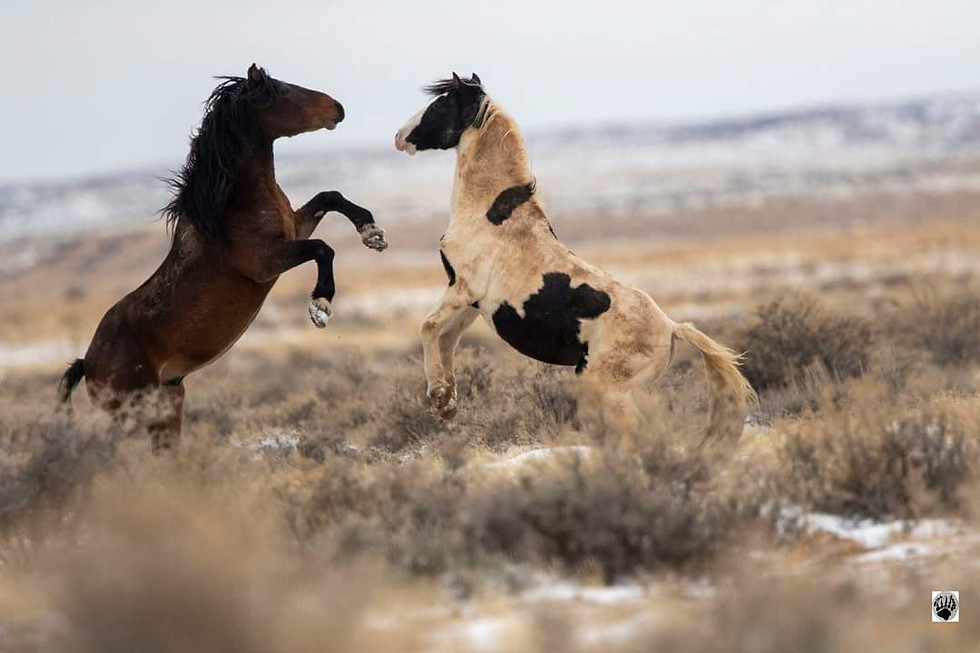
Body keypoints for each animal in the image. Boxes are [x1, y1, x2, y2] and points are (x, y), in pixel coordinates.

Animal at [58, 64, 388, 450]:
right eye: (283, 92)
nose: (337, 107)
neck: (230, 206)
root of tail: (88, 361)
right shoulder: (266, 262)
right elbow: (324, 247)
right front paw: (320, 307)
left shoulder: (295, 229)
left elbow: (330, 196)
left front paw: (373, 234)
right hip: (129, 413)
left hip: (167, 403)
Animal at [394, 73, 756, 443]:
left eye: (440, 104)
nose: (399, 137)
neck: (490, 214)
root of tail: (671, 328)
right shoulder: (471, 301)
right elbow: (447, 338)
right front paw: (447, 403)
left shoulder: (463, 288)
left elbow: (428, 327)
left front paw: (438, 395)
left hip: (608, 389)